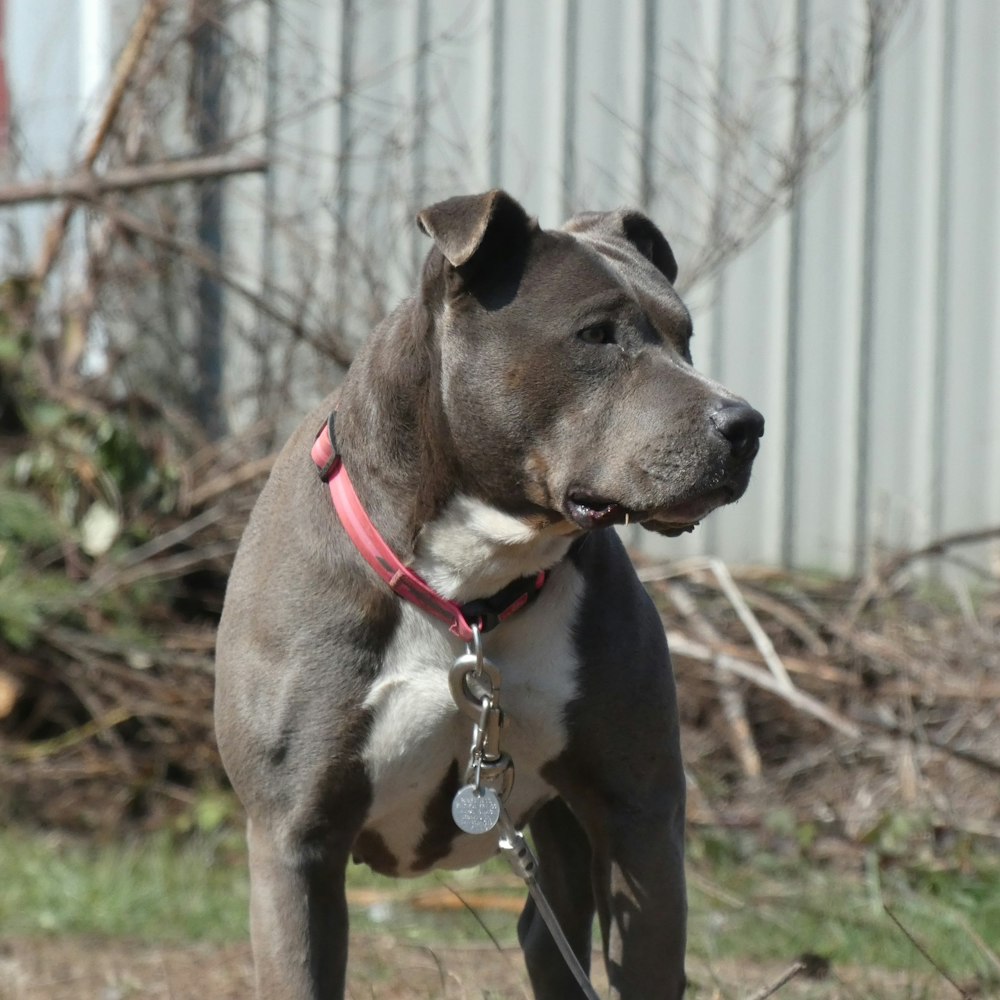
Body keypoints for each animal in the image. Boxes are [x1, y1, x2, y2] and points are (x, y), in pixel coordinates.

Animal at [215, 189, 764, 1000]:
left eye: (685, 337)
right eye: (595, 334)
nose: (746, 423)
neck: (470, 588)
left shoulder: (640, 817)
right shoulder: (294, 837)